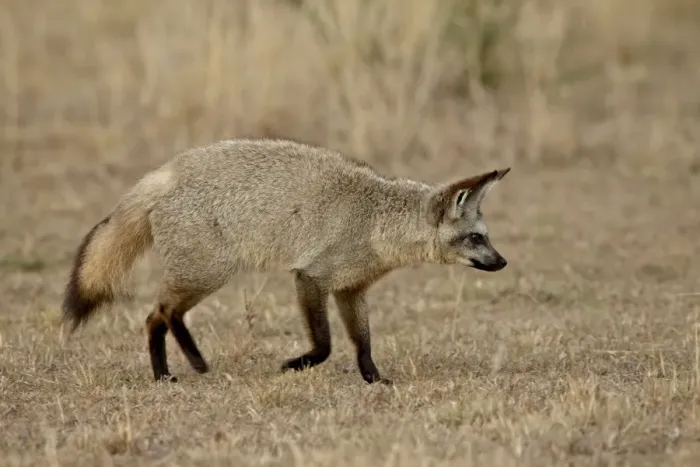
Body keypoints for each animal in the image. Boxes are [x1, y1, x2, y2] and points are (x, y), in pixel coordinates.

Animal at [61, 138, 510, 385]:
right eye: (476, 238)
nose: (503, 263)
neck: (377, 219)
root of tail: (170, 170)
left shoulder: (351, 290)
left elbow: (363, 343)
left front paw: (373, 379)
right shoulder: (311, 278)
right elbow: (325, 345)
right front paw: (297, 364)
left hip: (199, 276)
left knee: (158, 317)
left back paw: (172, 371)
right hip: (207, 275)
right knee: (161, 314)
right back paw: (186, 365)